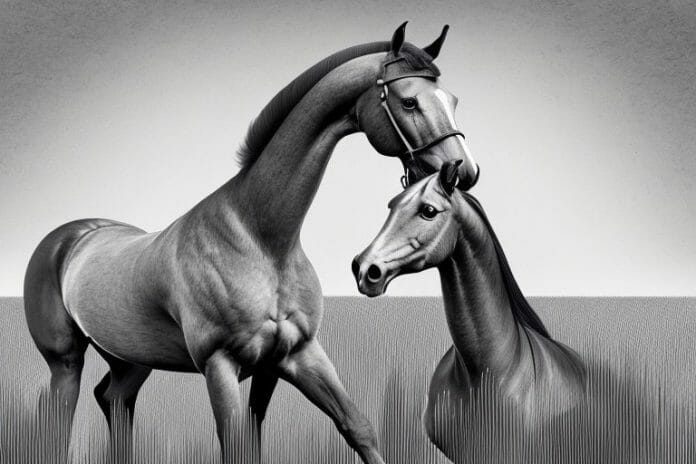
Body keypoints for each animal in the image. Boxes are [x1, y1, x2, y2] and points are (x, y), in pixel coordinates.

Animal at [23, 23, 479, 463]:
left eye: (452, 99)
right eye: (408, 101)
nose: (464, 171)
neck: (260, 239)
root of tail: (72, 237)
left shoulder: (293, 355)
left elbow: (357, 427)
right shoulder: (220, 365)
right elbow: (236, 445)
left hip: (132, 361)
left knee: (115, 399)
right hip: (66, 362)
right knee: (59, 420)